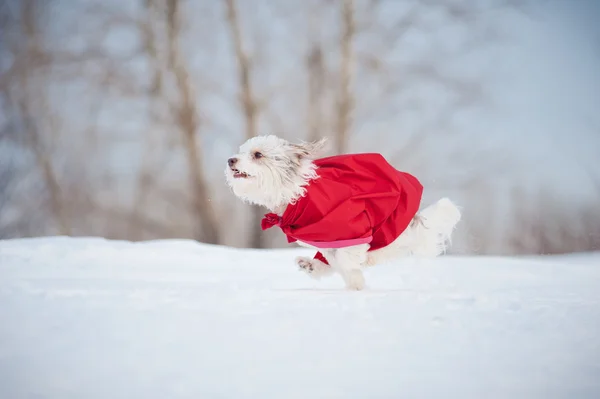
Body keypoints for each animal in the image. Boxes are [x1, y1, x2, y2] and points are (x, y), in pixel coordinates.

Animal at [226, 135, 464, 290]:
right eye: (241, 151)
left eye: (258, 154)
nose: (231, 160)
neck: (296, 194)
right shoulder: (324, 238)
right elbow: (334, 258)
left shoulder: (354, 225)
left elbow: (346, 256)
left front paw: (355, 272)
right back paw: (313, 266)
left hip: (389, 226)